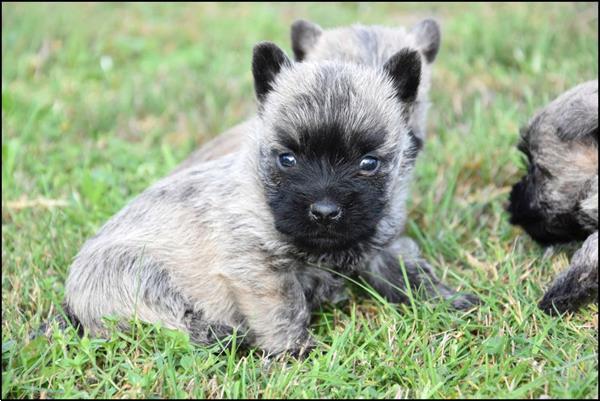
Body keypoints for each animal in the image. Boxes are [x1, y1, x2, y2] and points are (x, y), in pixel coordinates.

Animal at [64, 41, 478, 354]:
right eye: (287, 158)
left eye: (369, 162)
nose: (325, 212)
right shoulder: (261, 270)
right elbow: (283, 309)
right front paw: (295, 352)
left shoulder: (383, 248)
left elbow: (412, 276)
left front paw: (448, 299)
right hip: (140, 279)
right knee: (165, 324)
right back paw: (222, 336)